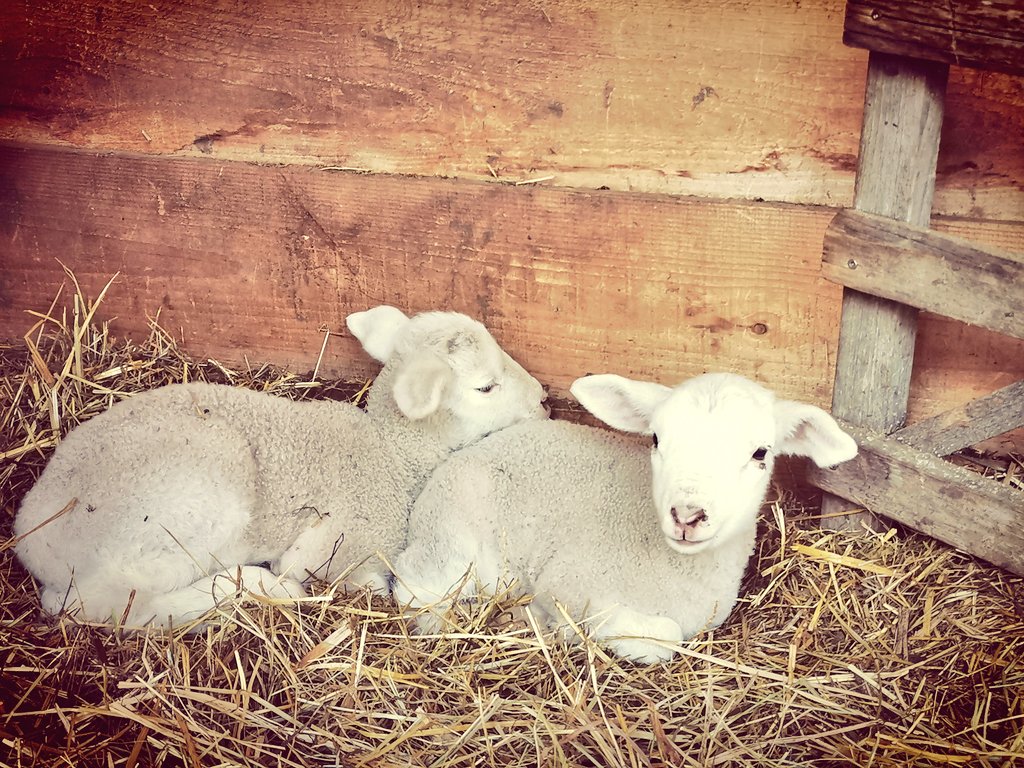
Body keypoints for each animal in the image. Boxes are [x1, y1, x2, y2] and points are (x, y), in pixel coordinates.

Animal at [14, 305, 548, 630]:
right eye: (485, 386)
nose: (543, 399)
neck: (391, 451)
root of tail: (30, 539)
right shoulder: (337, 542)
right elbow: (340, 572)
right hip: (185, 508)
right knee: (113, 605)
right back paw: (255, 587)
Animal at [391, 371, 858, 664]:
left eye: (761, 452)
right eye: (656, 439)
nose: (687, 515)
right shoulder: (568, 582)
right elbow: (663, 637)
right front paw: (557, 627)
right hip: (454, 547)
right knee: (414, 586)